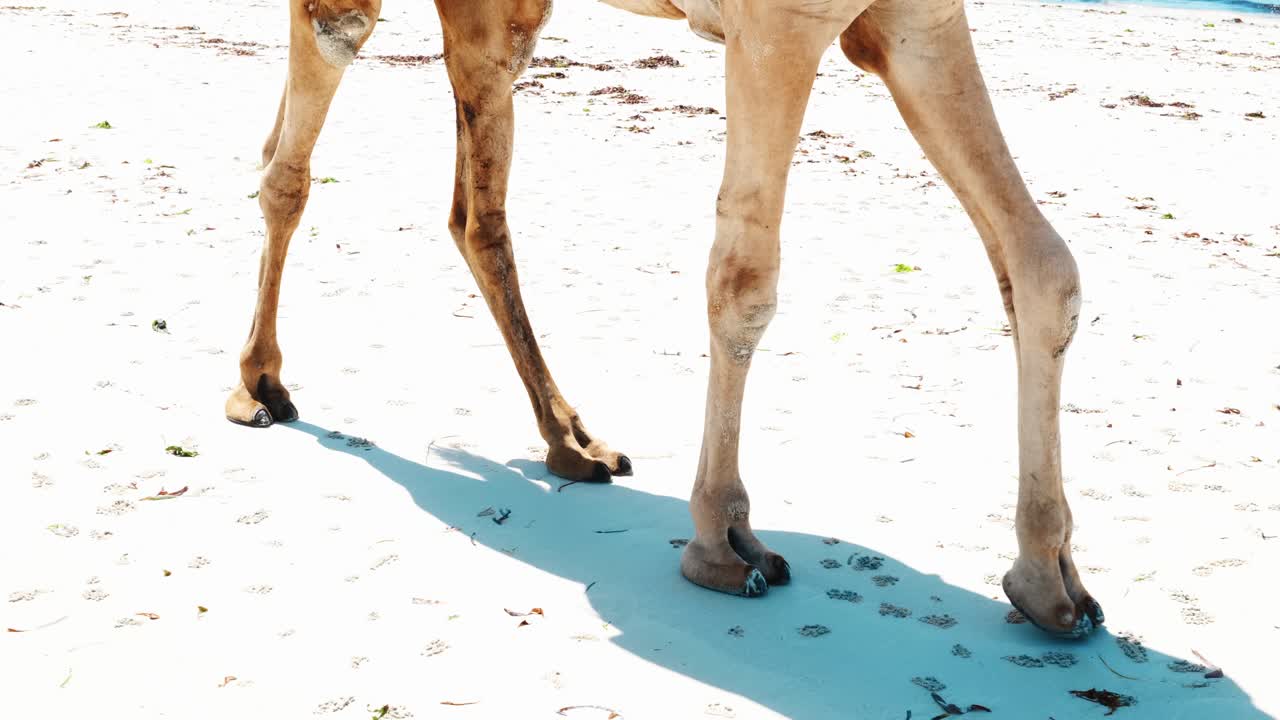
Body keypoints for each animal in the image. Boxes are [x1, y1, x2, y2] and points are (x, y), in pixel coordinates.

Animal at [226, 0, 1103, 639]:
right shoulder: (777, 27)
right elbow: (744, 281)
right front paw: (722, 542)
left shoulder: (920, 20)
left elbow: (1045, 268)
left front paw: (1050, 580)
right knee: (307, 123)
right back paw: (260, 386)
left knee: (465, 209)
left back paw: (570, 441)